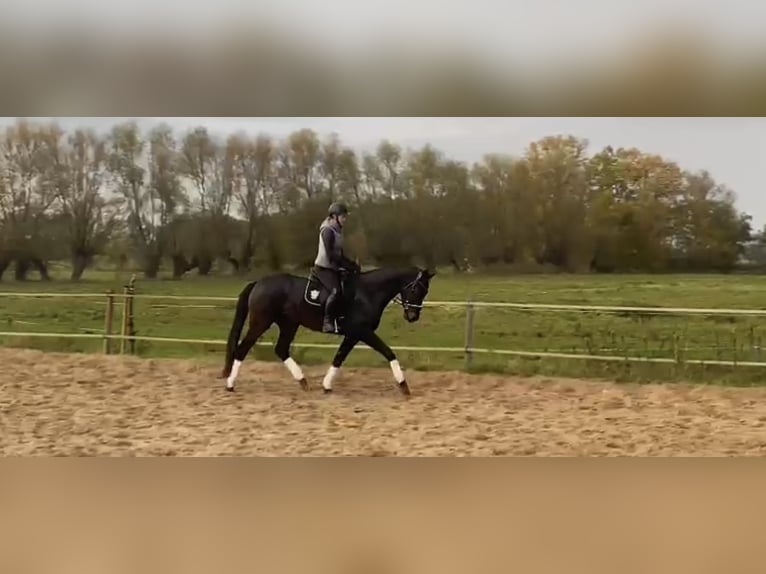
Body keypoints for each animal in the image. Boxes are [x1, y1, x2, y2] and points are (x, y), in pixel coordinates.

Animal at [222, 266, 438, 396]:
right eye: (416, 289)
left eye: (425, 291)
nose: (412, 317)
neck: (367, 293)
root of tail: (258, 283)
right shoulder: (362, 332)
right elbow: (388, 352)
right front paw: (403, 385)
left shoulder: (353, 335)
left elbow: (339, 358)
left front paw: (326, 385)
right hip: (261, 323)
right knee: (242, 349)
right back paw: (230, 384)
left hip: (289, 324)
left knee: (281, 349)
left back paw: (303, 381)